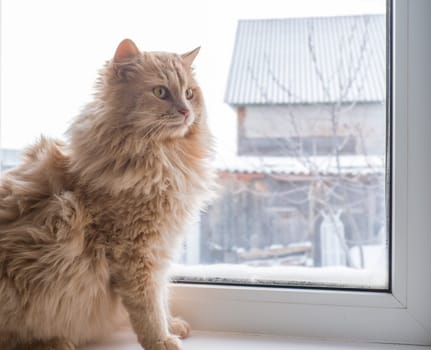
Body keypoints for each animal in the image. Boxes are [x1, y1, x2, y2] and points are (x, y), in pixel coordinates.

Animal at [0, 39, 214, 350]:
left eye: (189, 94)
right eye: (161, 92)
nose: (186, 111)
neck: (164, 158)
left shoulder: (160, 249)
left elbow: (162, 298)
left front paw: (172, 325)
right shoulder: (135, 252)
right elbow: (148, 306)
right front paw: (161, 339)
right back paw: (55, 342)